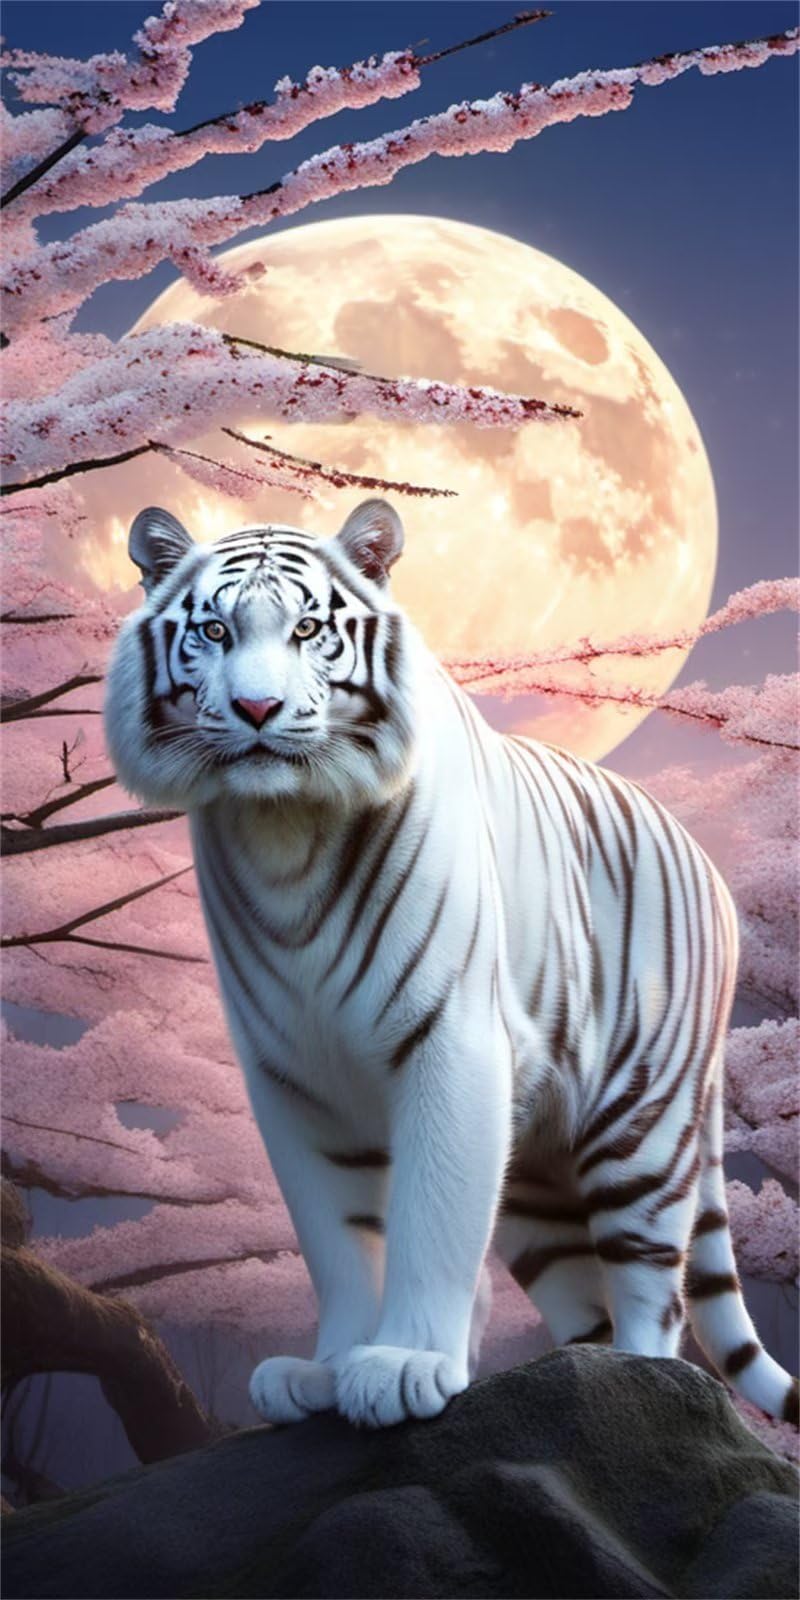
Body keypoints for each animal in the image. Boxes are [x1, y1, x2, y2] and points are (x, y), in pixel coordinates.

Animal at [105, 496, 798, 1431]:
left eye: (307, 629)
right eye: (213, 629)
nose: (255, 707)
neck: (285, 831)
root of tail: (710, 864)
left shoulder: (450, 1040)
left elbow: (433, 1217)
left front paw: (403, 1364)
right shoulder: (292, 1076)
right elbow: (337, 1236)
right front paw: (330, 1370)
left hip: (642, 1124)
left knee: (654, 1291)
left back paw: (642, 1379)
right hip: (535, 1180)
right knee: (583, 1295)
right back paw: (579, 1375)